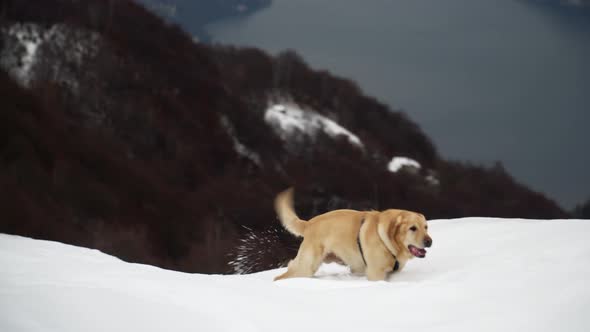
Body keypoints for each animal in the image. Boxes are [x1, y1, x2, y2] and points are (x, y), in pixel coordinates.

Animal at [276, 188, 432, 282]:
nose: (429, 241)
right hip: (306, 266)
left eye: (426, 227)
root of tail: (309, 223)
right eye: (412, 228)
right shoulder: (375, 273)